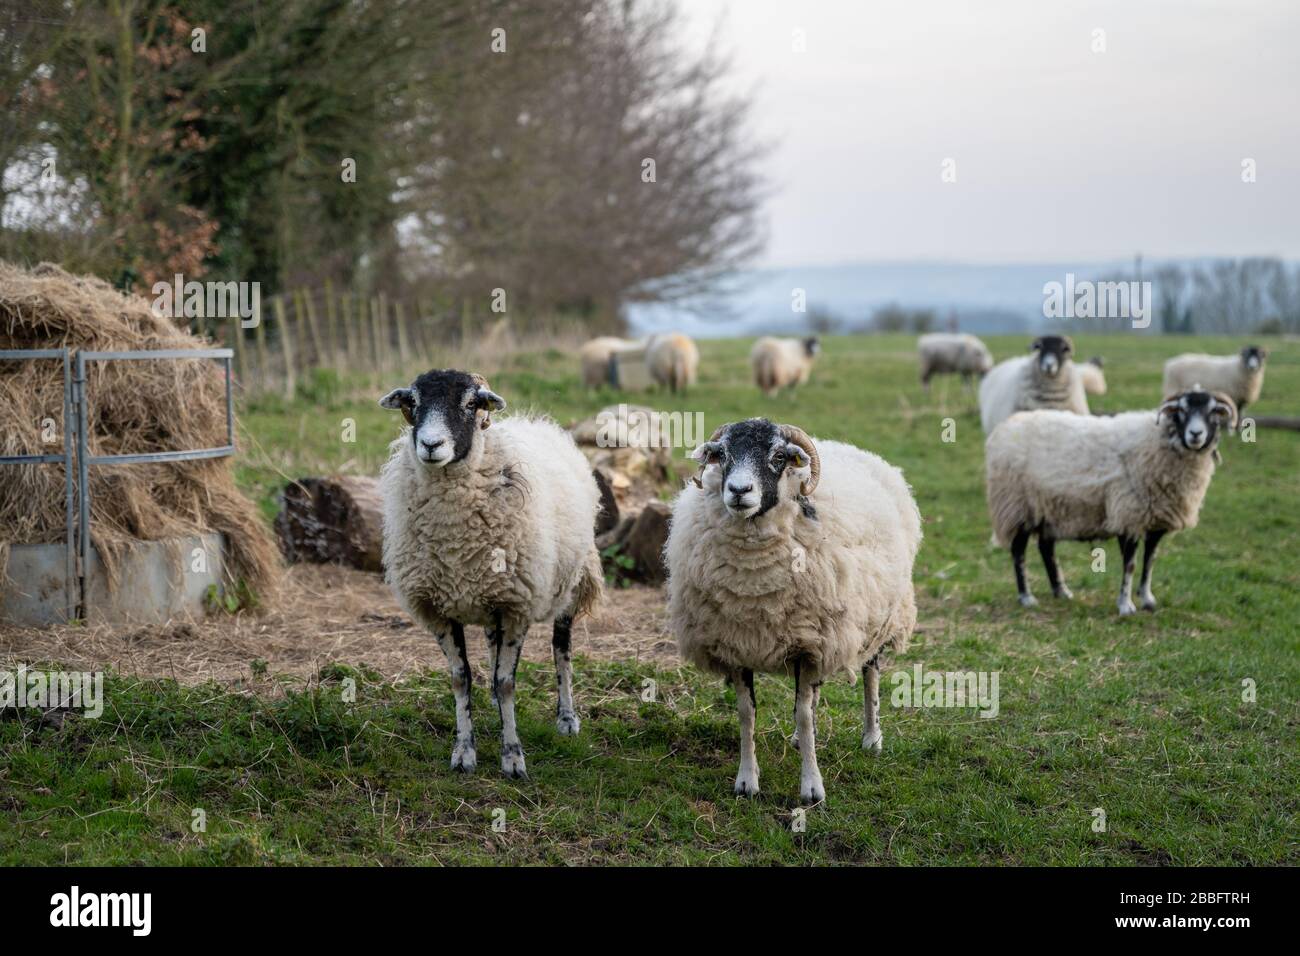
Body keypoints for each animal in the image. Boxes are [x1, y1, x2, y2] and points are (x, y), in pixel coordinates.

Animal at [374, 366, 600, 780]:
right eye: (413, 402)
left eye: (470, 403)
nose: (430, 445)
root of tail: (538, 422)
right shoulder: (440, 609)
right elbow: (461, 679)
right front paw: (464, 751)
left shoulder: (517, 606)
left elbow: (507, 681)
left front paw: (512, 757)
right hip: (490, 597)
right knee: (495, 652)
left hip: (569, 583)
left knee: (561, 648)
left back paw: (566, 717)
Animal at [670, 416, 925, 801]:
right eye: (723, 454)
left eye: (778, 456)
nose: (739, 491)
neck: (755, 584)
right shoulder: (738, 642)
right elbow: (747, 713)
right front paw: (746, 781)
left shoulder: (809, 645)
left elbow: (805, 714)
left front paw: (812, 787)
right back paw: (798, 739)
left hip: (877, 618)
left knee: (871, 673)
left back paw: (872, 737)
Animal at [982, 387, 1237, 616]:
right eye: (1181, 410)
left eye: (1213, 412)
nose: (1195, 434)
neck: (1160, 441)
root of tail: (1006, 426)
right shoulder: (1129, 515)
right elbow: (1130, 565)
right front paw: (1125, 606)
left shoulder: (1156, 519)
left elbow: (1150, 560)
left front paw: (1147, 599)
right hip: (1018, 506)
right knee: (1019, 551)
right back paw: (1026, 597)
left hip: (1050, 508)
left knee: (1046, 549)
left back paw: (1061, 591)